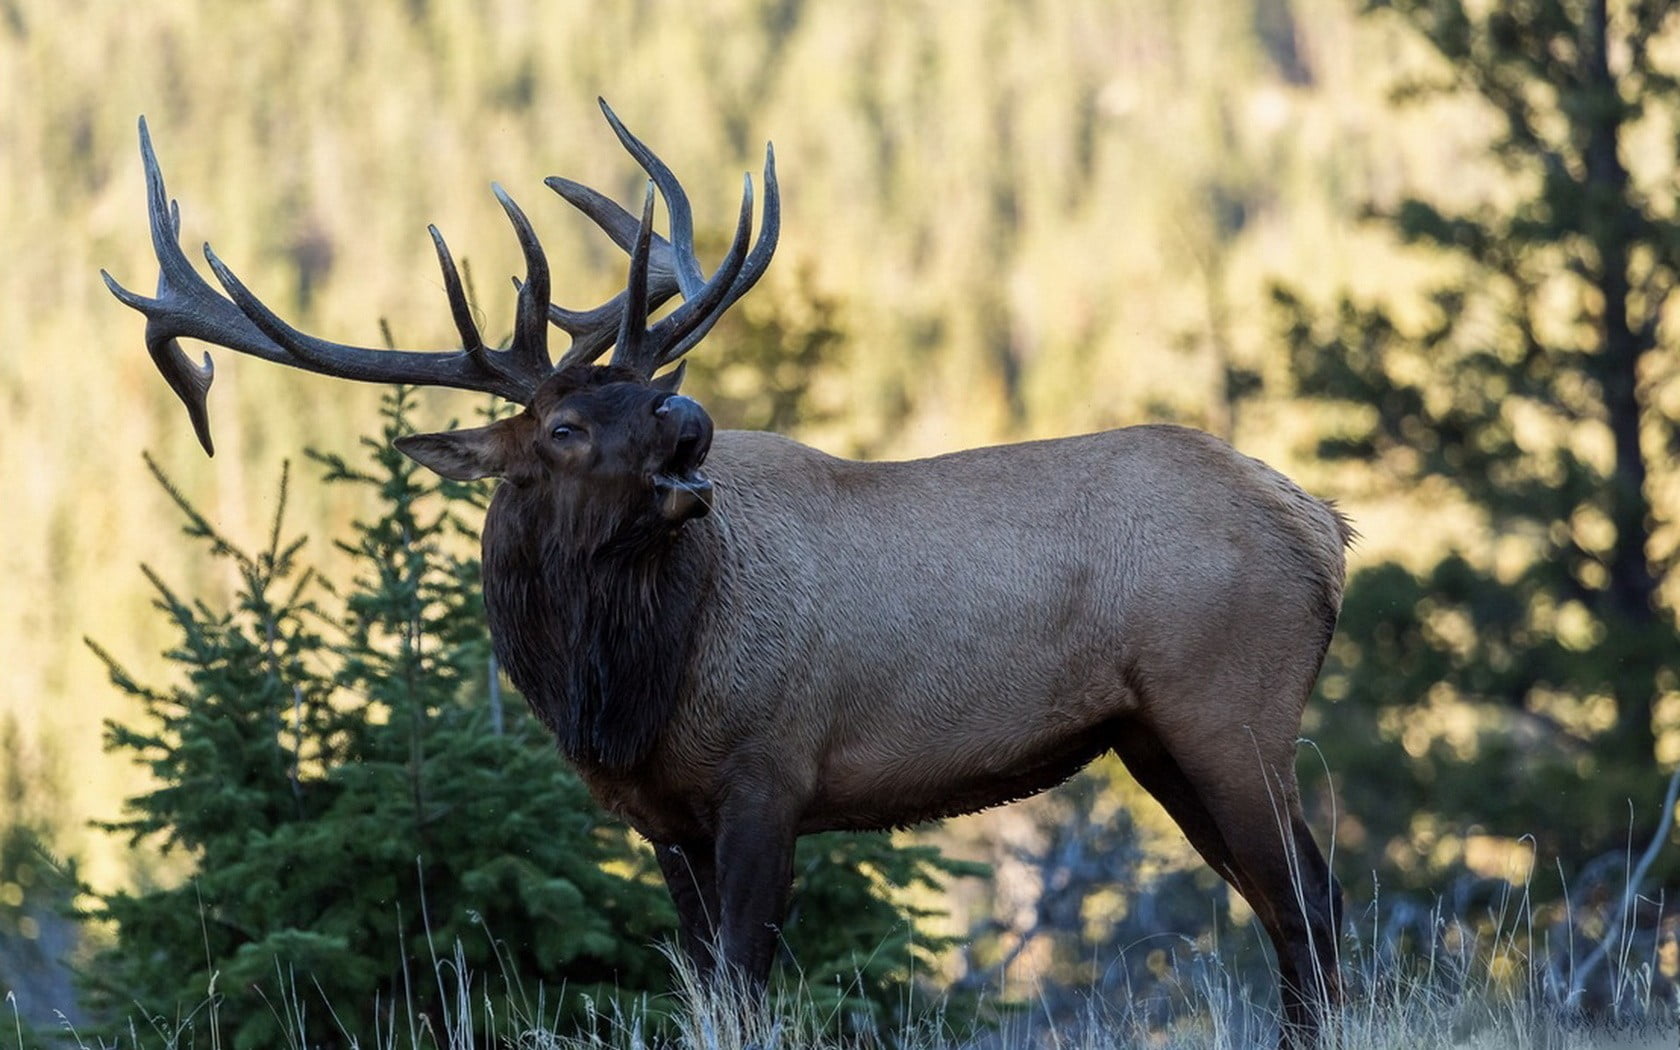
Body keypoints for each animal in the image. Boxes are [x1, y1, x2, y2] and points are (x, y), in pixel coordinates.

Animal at [105, 101, 1350, 1044]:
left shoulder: (772, 768)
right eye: (563, 426)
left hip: (1229, 707)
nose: (690, 418)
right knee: (1286, 902)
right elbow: (701, 985)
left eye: (646, 391)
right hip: (1153, 735)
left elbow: (747, 988)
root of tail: (1324, 527)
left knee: (1312, 905)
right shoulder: (665, 818)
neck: (625, 688)